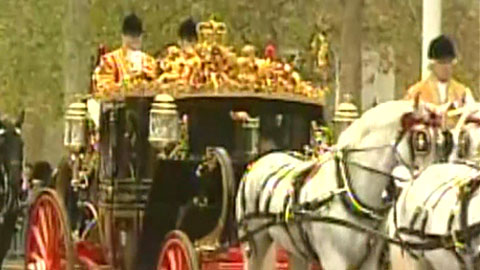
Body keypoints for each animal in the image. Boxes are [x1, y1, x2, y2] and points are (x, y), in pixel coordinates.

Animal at [236, 99, 446, 270]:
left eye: (441, 141)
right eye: (421, 141)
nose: (435, 182)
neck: (350, 193)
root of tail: (260, 161)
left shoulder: (370, 260)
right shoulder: (333, 259)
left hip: (294, 249)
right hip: (255, 242)